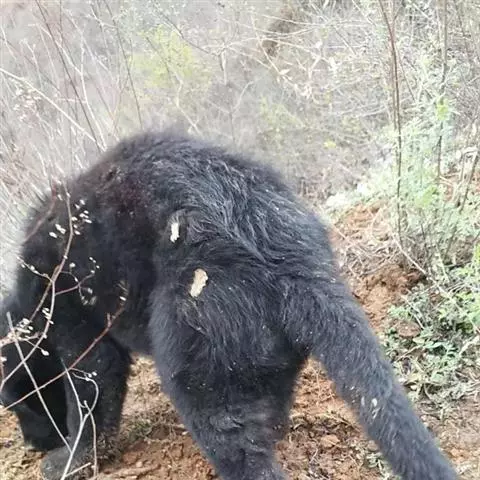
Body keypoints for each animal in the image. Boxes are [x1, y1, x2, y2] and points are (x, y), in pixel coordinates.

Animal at [0, 131, 457, 480]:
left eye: (18, 401)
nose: (31, 444)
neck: (26, 303)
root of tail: (288, 250)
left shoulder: (74, 318)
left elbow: (91, 393)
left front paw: (66, 462)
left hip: (198, 325)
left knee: (236, 444)